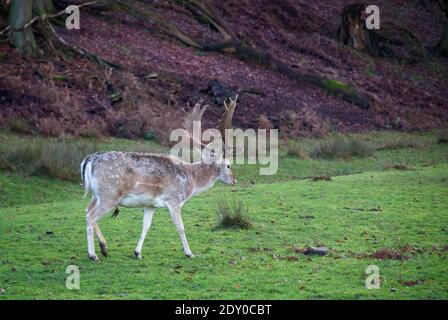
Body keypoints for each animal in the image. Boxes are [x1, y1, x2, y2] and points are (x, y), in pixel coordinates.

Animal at [80, 96, 238, 262]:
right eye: (228, 165)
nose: (235, 180)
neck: (191, 180)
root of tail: (90, 159)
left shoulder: (150, 204)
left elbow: (146, 225)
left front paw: (137, 252)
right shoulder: (174, 200)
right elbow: (180, 226)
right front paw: (189, 253)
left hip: (96, 195)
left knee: (86, 210)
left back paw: (104, 248)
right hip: (109, 194)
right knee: (91, 216)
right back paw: (93, 255)